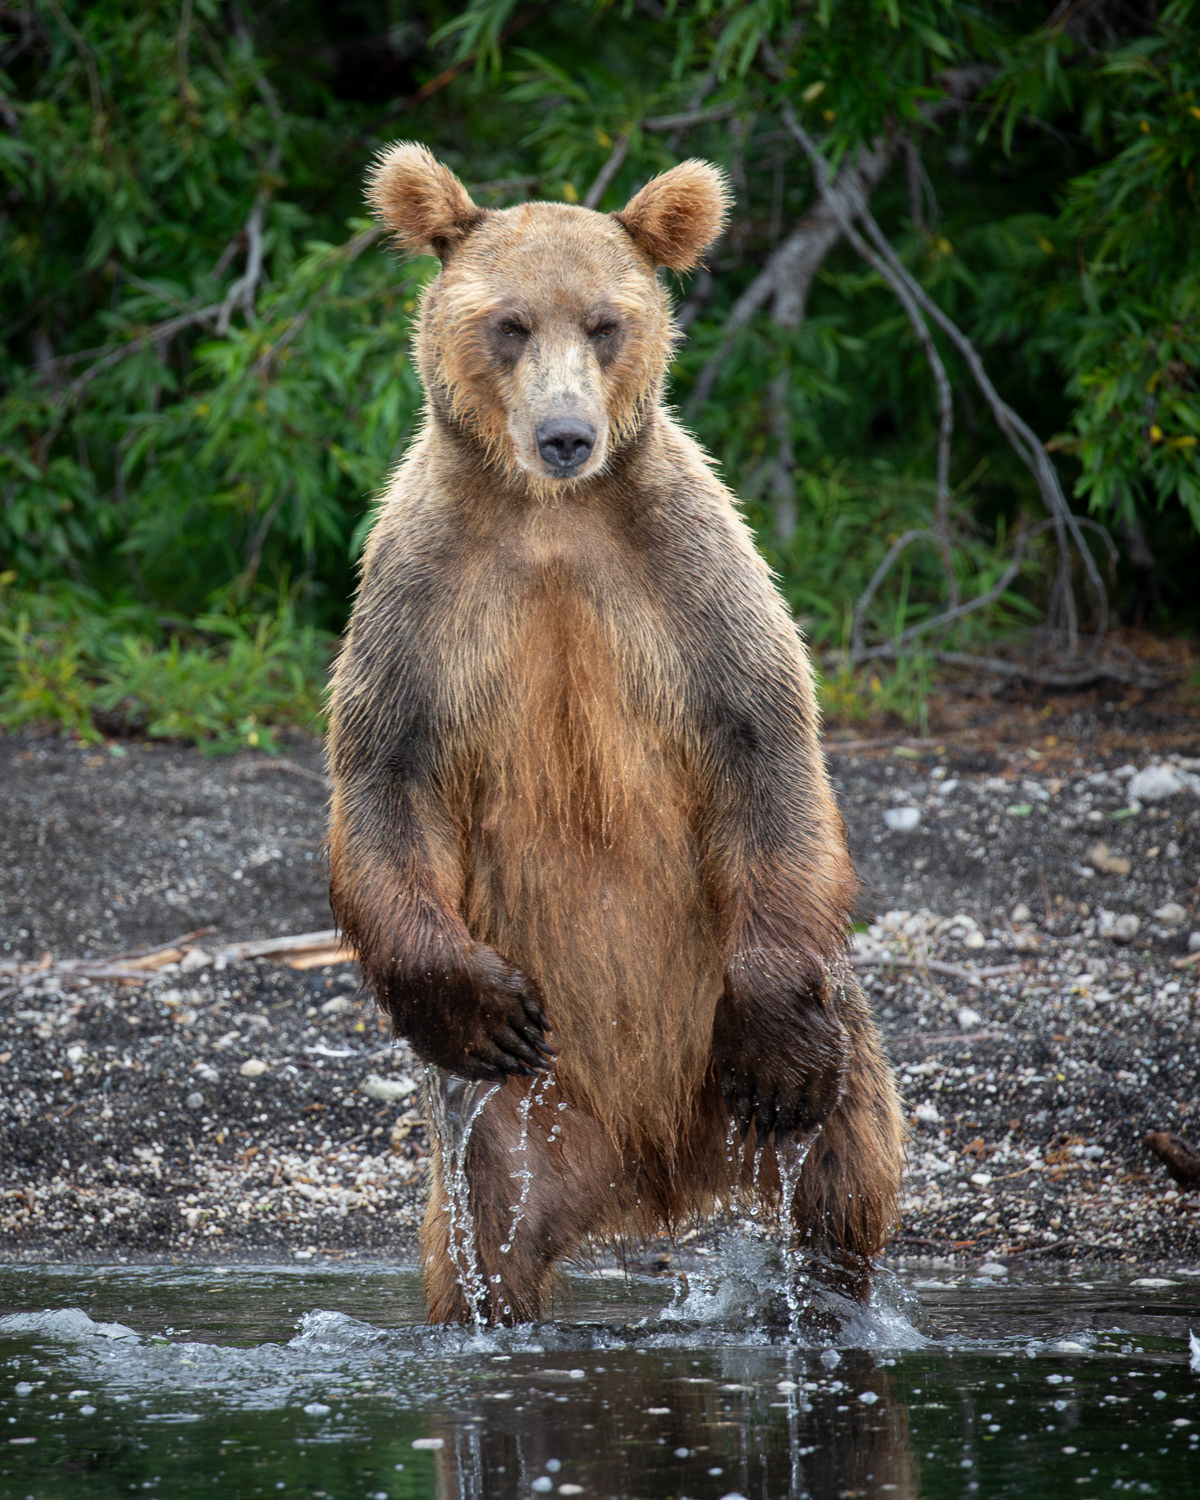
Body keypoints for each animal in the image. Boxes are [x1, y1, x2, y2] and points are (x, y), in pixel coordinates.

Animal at [327, 142, 904, 1324]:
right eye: (509, 323)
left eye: (604, 322)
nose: (565, 436)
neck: (551, 520)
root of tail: (655, 1168)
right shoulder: (423, 596)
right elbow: (385, 780)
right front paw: (473, 1004)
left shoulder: (687, 576)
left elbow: (765, 748)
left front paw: (776, 1046)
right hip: (524, 1115)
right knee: (485, 1234)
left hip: (787, 1056)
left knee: (843, 1169)